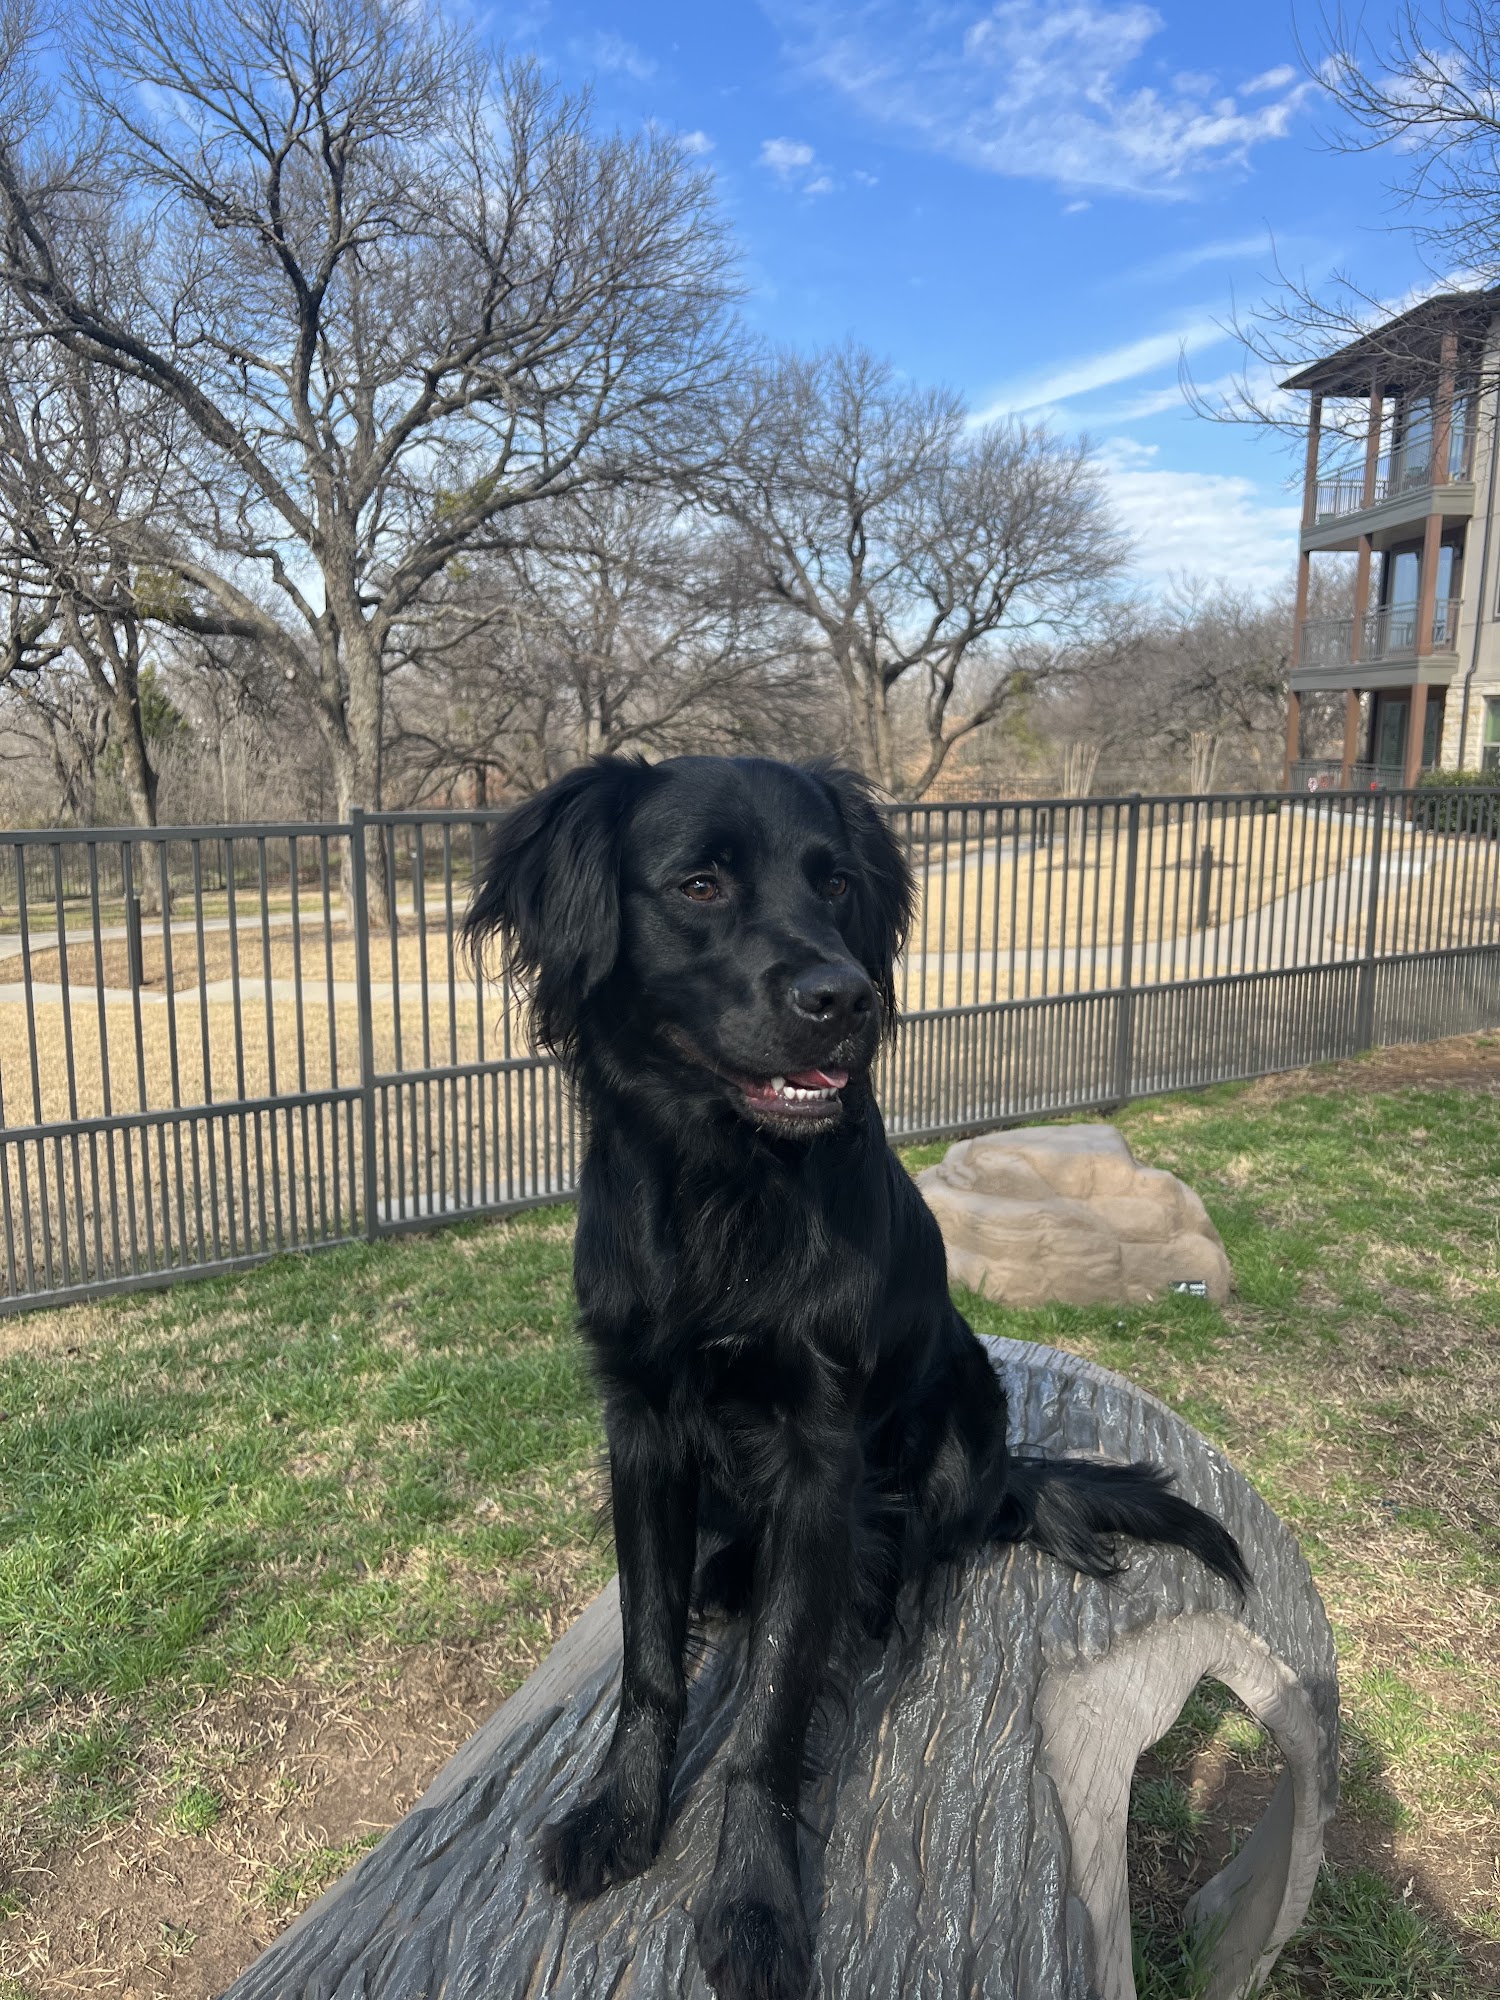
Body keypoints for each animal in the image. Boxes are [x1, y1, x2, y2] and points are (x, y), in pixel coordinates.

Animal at [468, 752, 1248, 2000]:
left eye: (834, 883)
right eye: (699, 883)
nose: (845, 998)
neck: (724, 1181)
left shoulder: (819, 1451)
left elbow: (774, 1711)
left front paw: (751, 1898)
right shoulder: (640, 1427)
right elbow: (650, 1658)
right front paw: (623, 1810)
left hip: (966, 1419)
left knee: (923, 1546)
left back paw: (883, 1596)